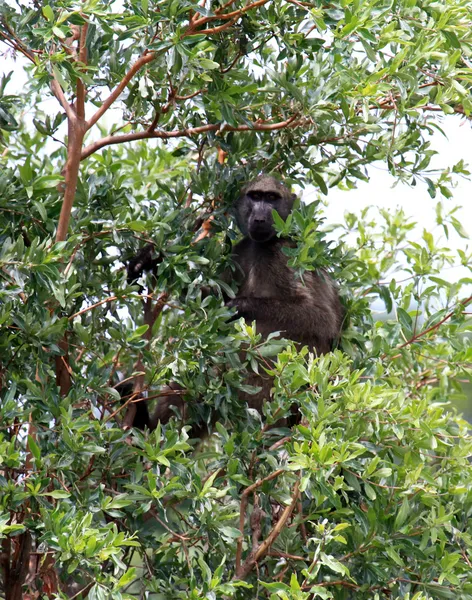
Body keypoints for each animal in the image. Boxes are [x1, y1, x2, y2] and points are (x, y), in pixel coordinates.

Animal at [121, 173, 342, 432]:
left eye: (272, 198)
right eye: (255, 196)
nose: (260, 218)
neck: (263, 245)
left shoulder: (286, 253)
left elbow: (320, 317)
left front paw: (238, 306)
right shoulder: (240, 250)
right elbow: (208, 298)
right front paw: (151, 259)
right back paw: (145, 426)